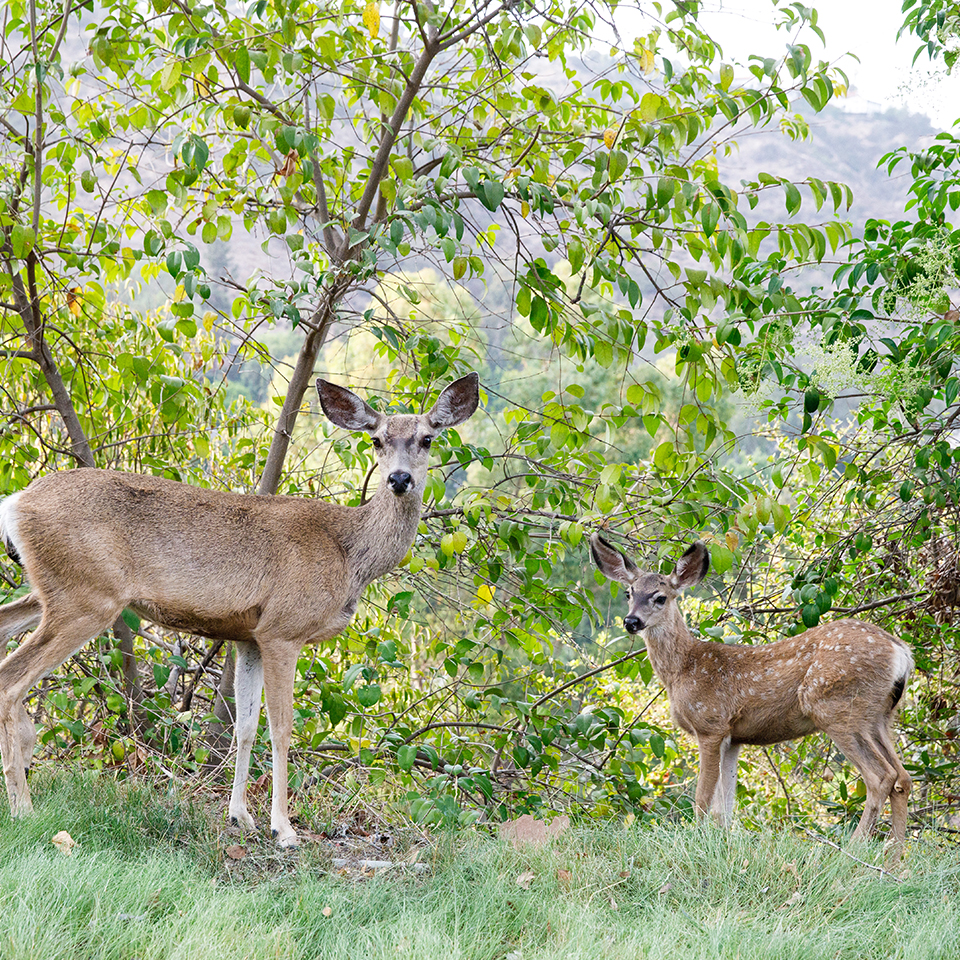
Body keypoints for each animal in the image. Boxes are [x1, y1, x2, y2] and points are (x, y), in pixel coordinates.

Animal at [0, 372, 480, 844]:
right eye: (377, 439)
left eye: (428, 438)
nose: (399, 479)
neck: (349, 553)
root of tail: (16, 502)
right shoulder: (283, 629)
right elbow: (281, 728)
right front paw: (283, 827)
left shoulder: (249, 636)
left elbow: (244, 726)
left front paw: (240, 816)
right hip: (86, 596)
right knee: (12, 680)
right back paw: (22, 804)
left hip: (52, 591)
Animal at [592, 532, 916, 864]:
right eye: (629, 593)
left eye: (660, 597)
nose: (631, 621)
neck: (682, 669)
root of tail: (901, 653)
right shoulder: (734, 737)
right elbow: (724, 808)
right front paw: (720, 846)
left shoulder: (710, 723)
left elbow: (702, 799)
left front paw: (695, 842)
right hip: (879, 715)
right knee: (903, 778)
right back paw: (896, 858)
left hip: (836, 707)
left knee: (880, 777)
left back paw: (852, 851)